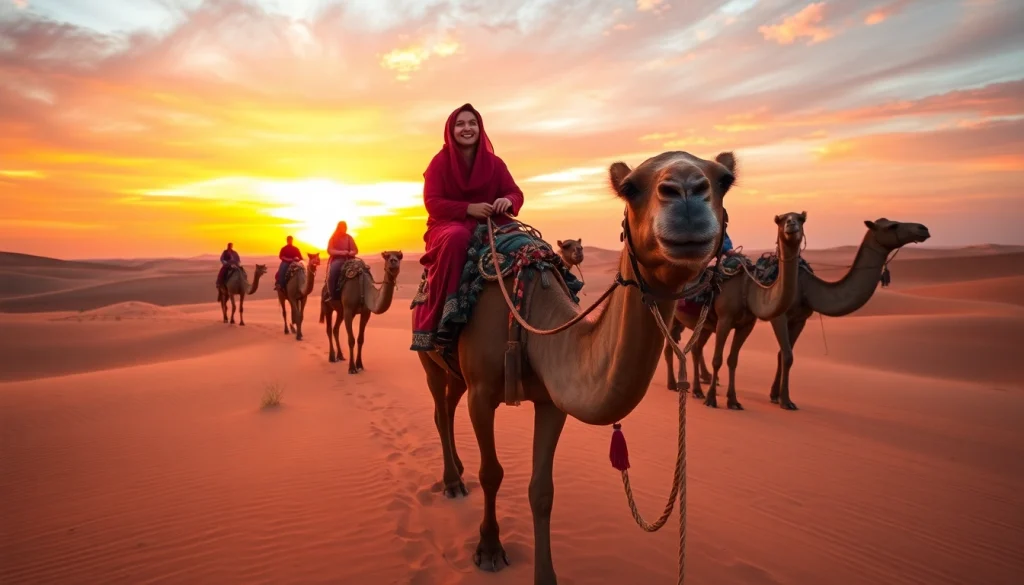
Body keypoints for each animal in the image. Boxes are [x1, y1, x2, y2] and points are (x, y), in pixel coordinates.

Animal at [415, 151, 794, 584]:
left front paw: (545, 575)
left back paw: (457, 470)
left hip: (456, 372)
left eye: (725, 180)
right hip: (432, 360)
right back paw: (452, 481)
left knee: (448, 403)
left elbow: (542, 490)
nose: (685, 193)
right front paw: (490, 550)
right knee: (440, 409)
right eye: (629, 187)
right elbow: (491, 473)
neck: (528, 312)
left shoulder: (551, 401)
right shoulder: (482, 392)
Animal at [767, 218, 930, 410]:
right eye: (892, 226)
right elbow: (787, 356)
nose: (923, 228)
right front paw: (786, 402)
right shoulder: (779, 317)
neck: (805, 286)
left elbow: (783, 354)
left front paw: (775, 396)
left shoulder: (800, 319)